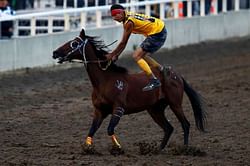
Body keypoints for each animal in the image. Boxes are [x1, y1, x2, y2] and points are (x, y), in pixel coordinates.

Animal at [52, 28, 207, 154]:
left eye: (73, 44)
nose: (55, 52)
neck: (105, 81)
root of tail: (176, 75)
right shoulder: (99, 111)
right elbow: (92, 130)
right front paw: (88, 148)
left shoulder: (118, 109)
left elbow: (110, 129)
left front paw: (118, 148)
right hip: (155, 109)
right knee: (168, 128)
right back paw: (157, 150)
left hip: (175, 104)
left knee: (185, 124)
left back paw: (185, 149)